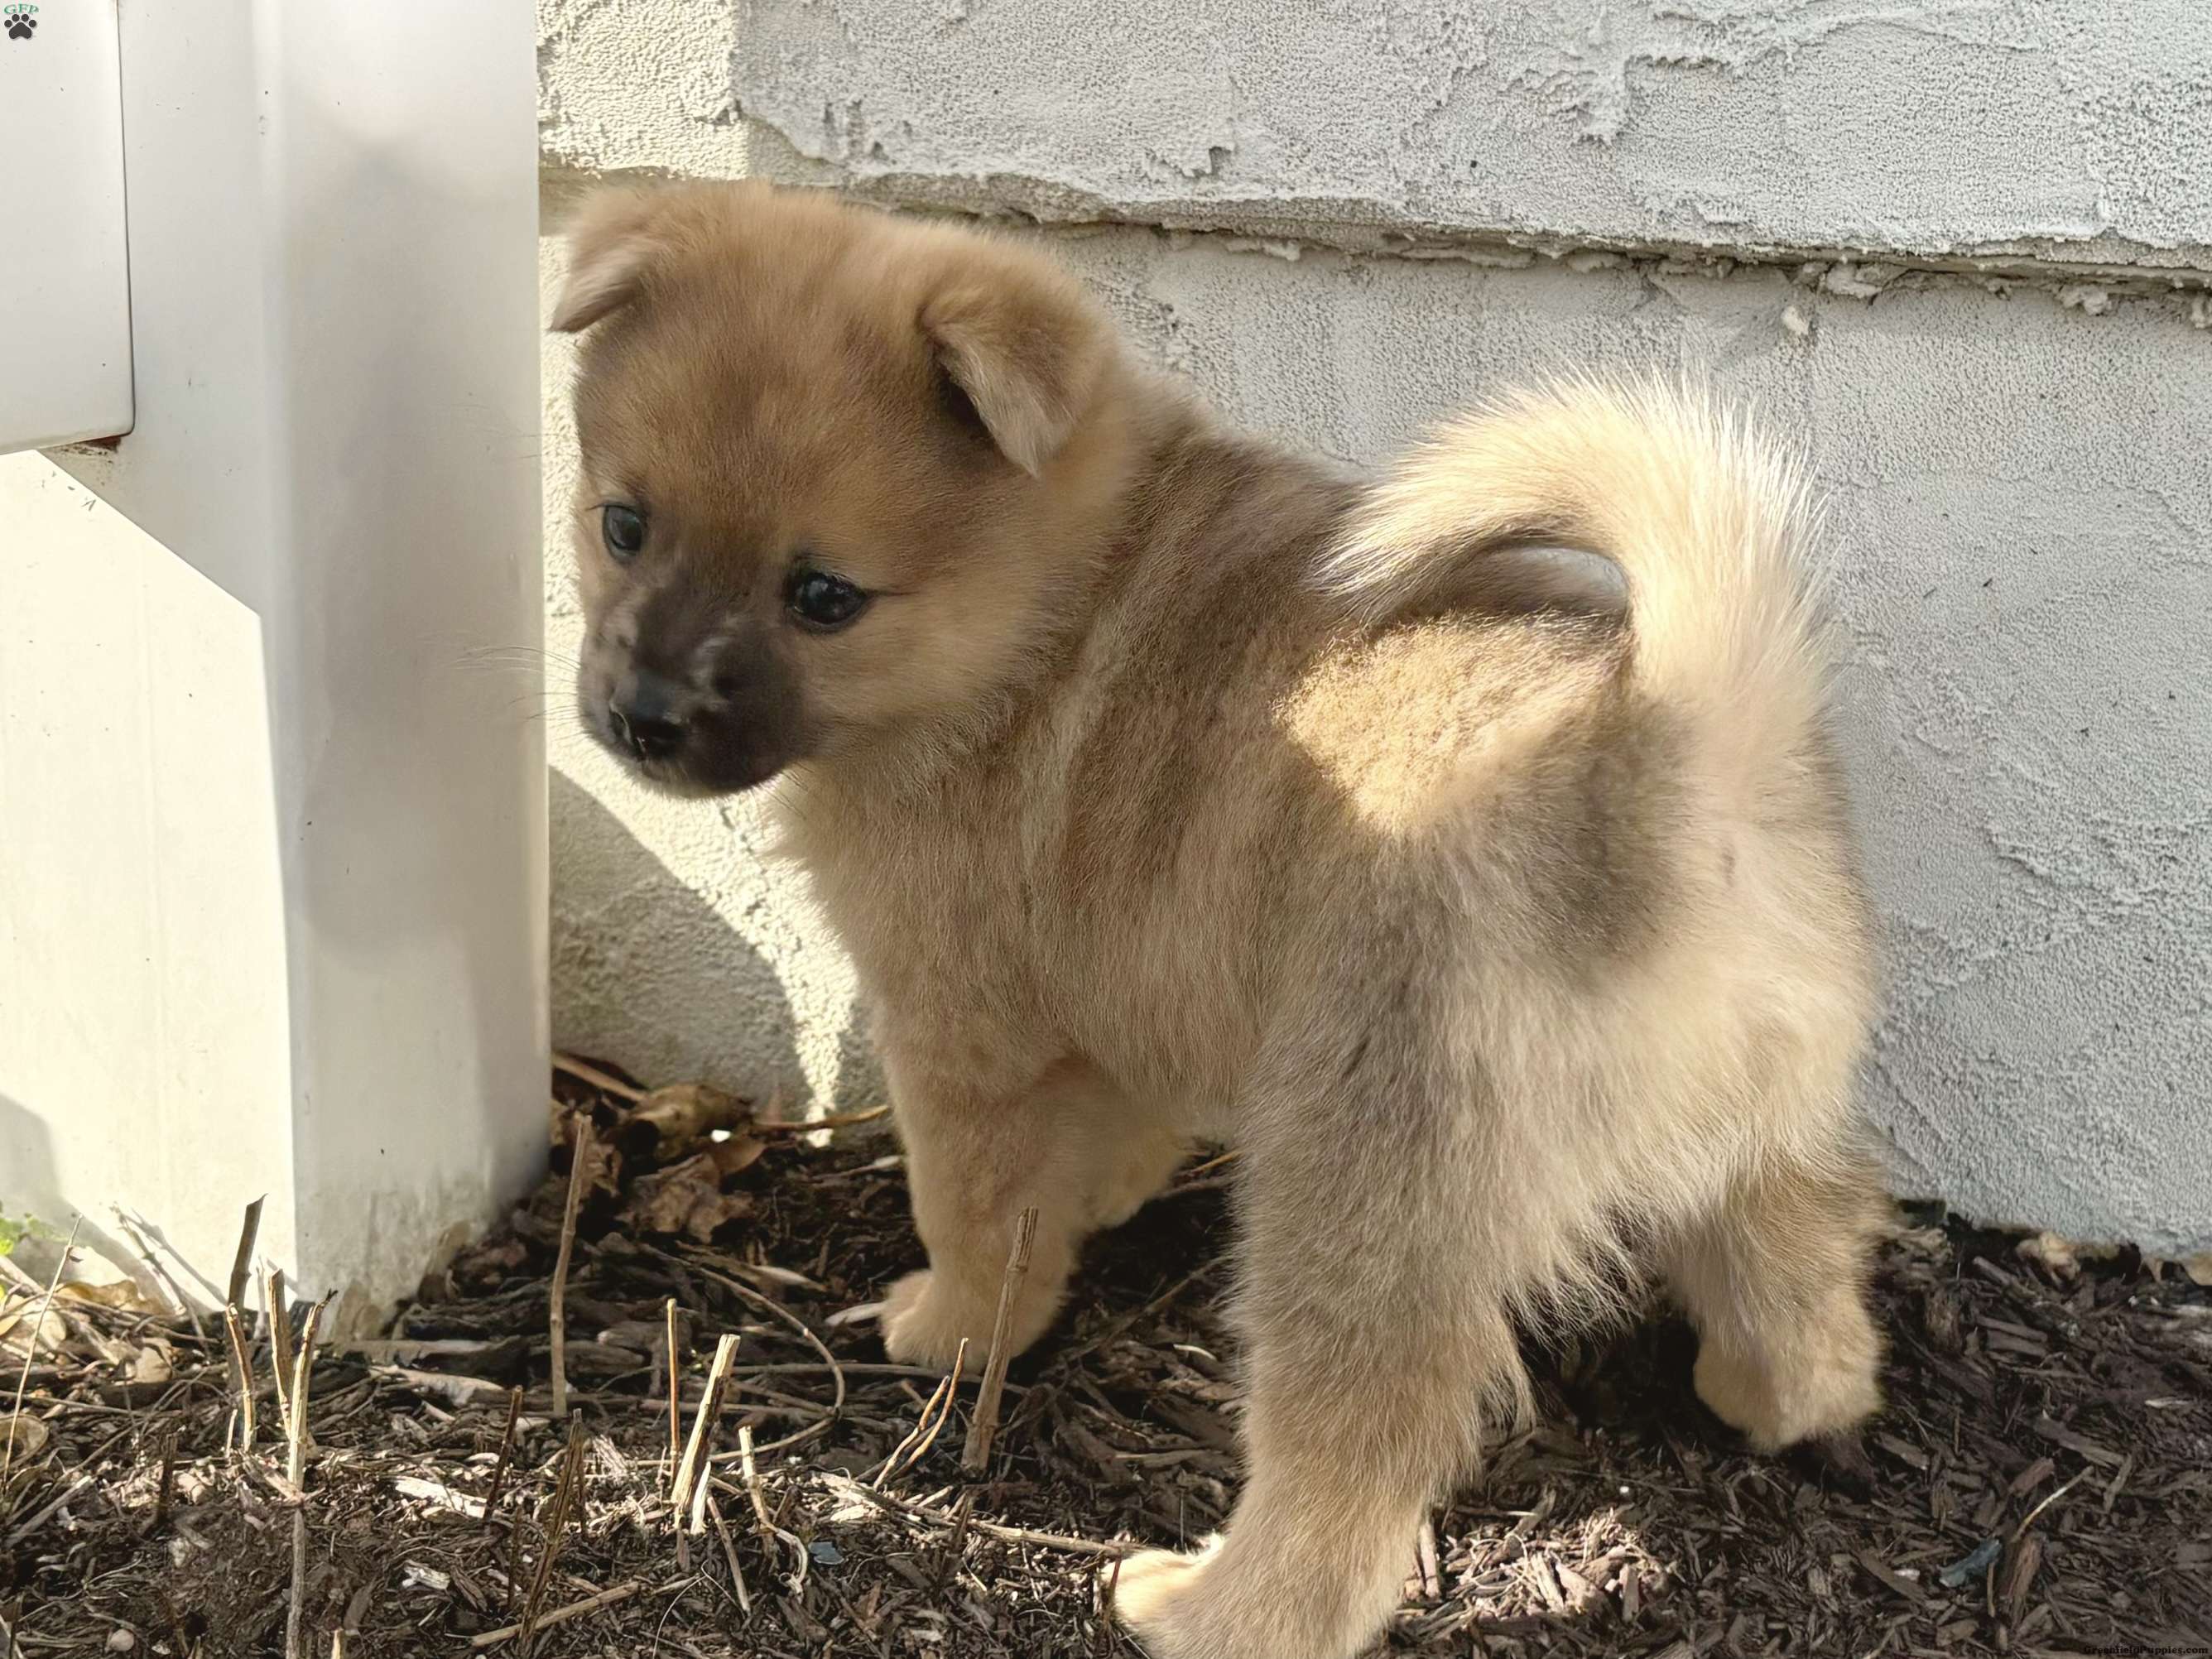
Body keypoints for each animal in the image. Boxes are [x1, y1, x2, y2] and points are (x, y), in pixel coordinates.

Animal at [553, 180, 1886, 1659]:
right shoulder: (1129, 982)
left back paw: (1203, 1605)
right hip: (1768, 1131)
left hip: (1360, 1192)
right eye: (624, 524)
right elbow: (1112, 1128)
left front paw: (956, 1330)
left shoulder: (960, 1031)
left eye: (824, 598)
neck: (1050, 606)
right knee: (1807, 1278)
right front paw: (1098, 1203)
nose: (643, 717)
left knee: (1347, 1470)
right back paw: (1778, 1402)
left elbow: (973, 1212)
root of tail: (1671, 761)